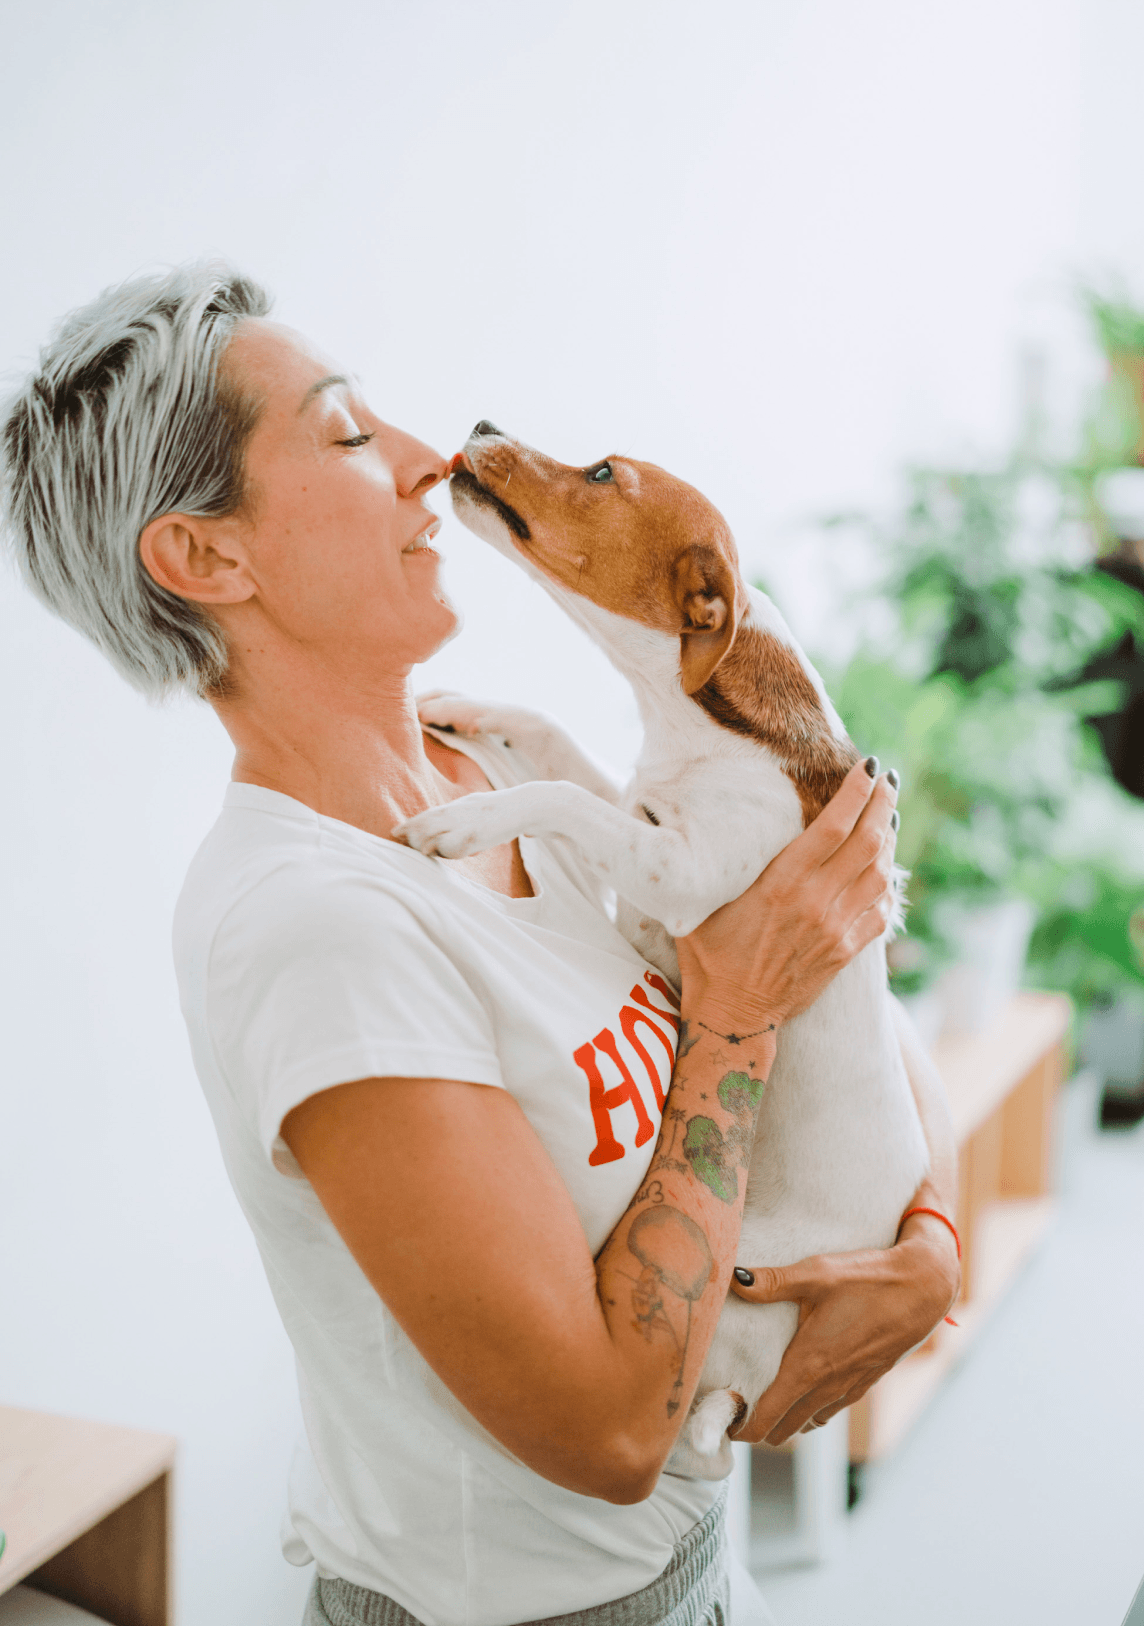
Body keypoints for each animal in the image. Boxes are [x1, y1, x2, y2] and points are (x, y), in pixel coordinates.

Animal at [398, 426, 936, 1482]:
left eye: (605, 474)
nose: (479, 425)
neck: (704, 725)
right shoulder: (637, 800)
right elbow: (558, 744)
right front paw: (464, 704)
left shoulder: (680, 871)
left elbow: (559, 796)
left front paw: (467, 817)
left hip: (724, 1311)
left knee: (693, 1428)